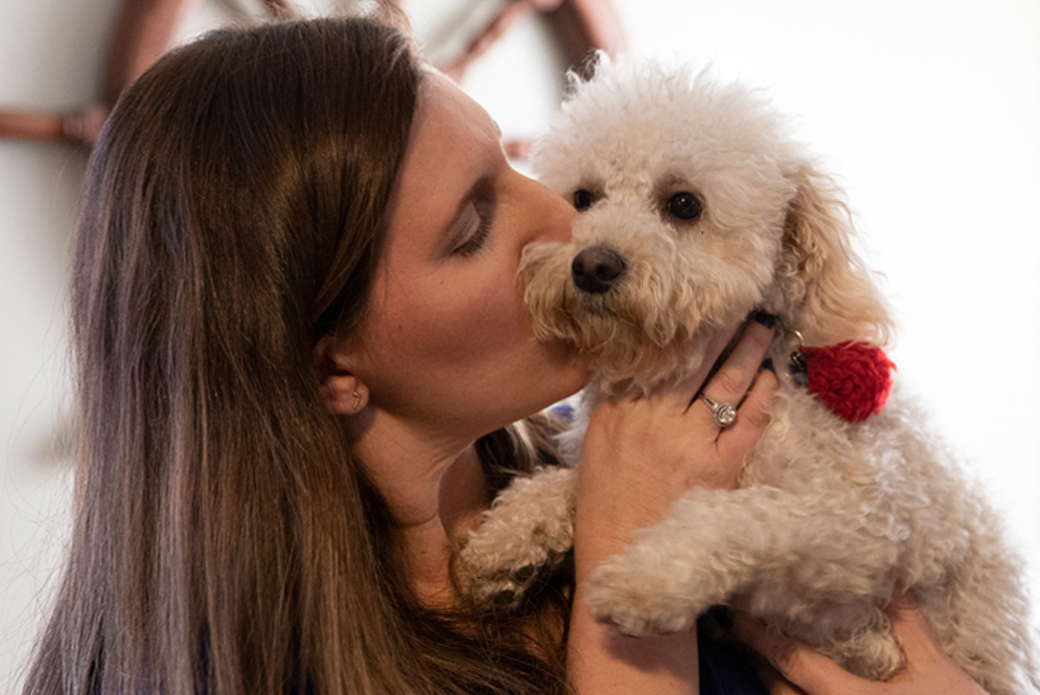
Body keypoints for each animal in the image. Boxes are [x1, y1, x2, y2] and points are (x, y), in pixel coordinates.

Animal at [461, 56, 1040, 690]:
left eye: (684, 204)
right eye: (584, 198)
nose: (592, 265)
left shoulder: (861, 525)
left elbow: (735, 518)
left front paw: (646, 580)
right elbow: (567, 482)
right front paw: (505, 539)